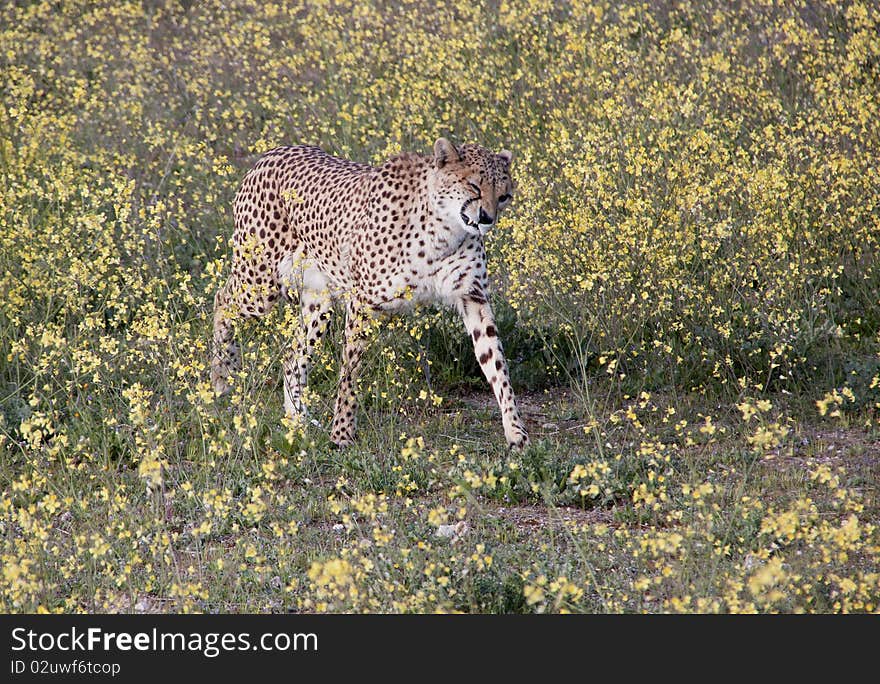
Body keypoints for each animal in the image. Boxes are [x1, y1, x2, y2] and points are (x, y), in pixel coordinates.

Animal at [211, 138, 528, 448]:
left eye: (504, 196)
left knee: (292, 357)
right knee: (222, 300)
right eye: (474, 185)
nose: (487, 218)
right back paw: (222, 380)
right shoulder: (363, 303)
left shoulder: (472, 297)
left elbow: (497, 364)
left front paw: (515, 432)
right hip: (259, 283)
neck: (444, 229)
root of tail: (275, 151)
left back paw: (297, 419)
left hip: (318, 301)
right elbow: (350, 375)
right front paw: (341, 434)